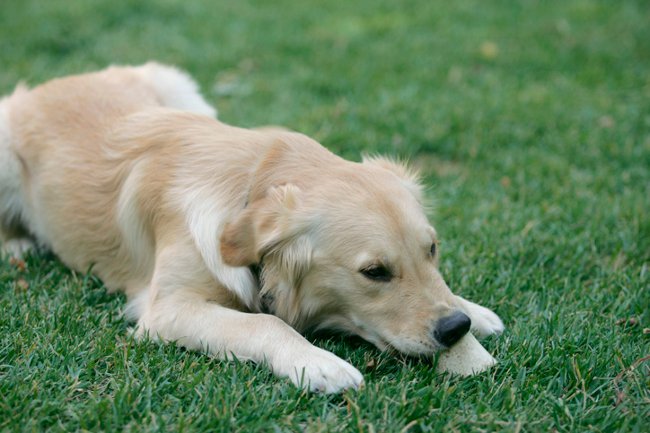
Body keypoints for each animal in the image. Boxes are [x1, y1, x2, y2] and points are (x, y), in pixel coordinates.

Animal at [0, 63, 502, 392]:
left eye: (432, 249)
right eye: (374, 272)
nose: (455, 327)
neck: (250, 185)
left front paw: (473, 311)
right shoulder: (167, 309)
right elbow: (266, 324)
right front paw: (317, 363)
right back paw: (18, 244)